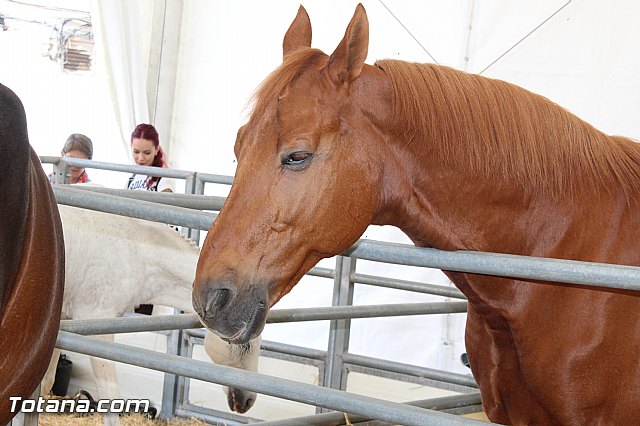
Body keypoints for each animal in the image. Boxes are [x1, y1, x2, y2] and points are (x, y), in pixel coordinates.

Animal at [41, 204, 260, 425]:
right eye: (244, 344)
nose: (248, 401)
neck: (136, 251)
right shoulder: (97, 328)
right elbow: (110, 397)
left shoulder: (62, 323)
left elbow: (47, 382)